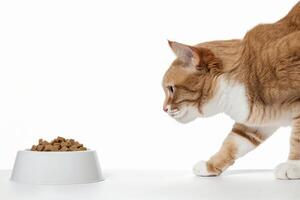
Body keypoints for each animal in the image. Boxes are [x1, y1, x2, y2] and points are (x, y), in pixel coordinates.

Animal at [163, 1, 300, 180]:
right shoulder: (255, 122)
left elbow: (297, 138)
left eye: (171, 89)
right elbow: (231, 144)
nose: (163, 109)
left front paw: (293, 165)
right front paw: (210, 166)